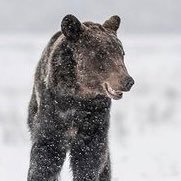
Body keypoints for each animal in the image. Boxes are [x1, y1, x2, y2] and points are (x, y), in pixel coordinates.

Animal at [27, 14, 134, 181]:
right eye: (101, 54)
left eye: (122, 53)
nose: (127, 81)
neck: (77, 95)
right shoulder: (53, 112)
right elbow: (46, 155)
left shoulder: (94, 118)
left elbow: (89, 157)